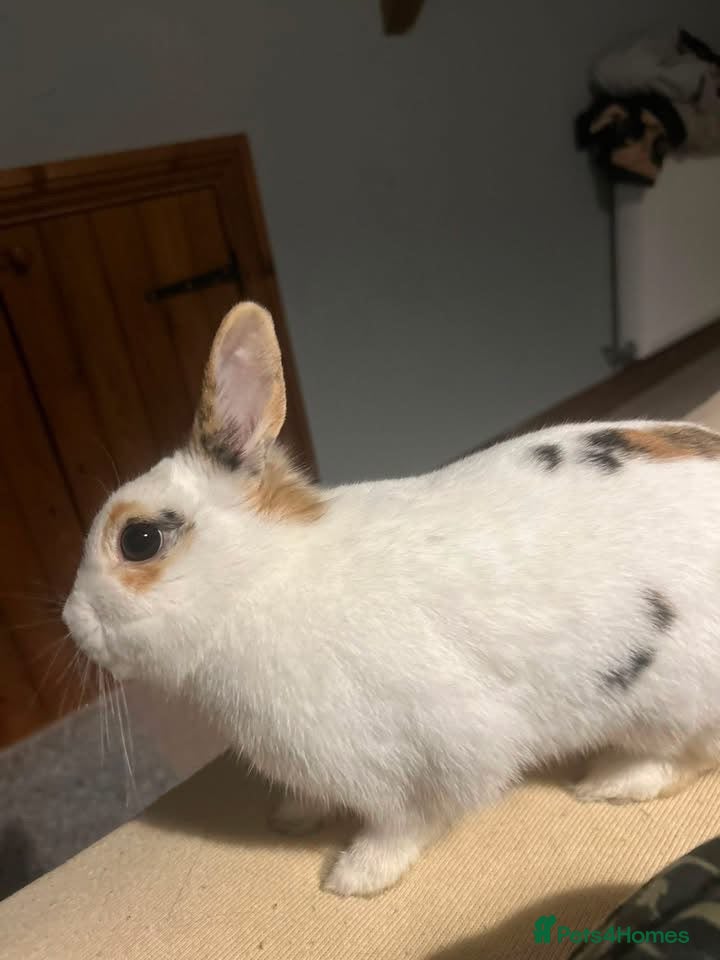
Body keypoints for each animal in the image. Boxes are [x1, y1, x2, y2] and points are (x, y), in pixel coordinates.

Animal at [63, 301, 720, 898]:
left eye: (139, 539)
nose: (72, 621)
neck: (262, 578)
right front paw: (291, 818)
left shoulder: (426, 764)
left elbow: (408, 824)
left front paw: (353, 878)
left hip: (672, 705)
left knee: (687, 757)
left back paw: (608, 781)